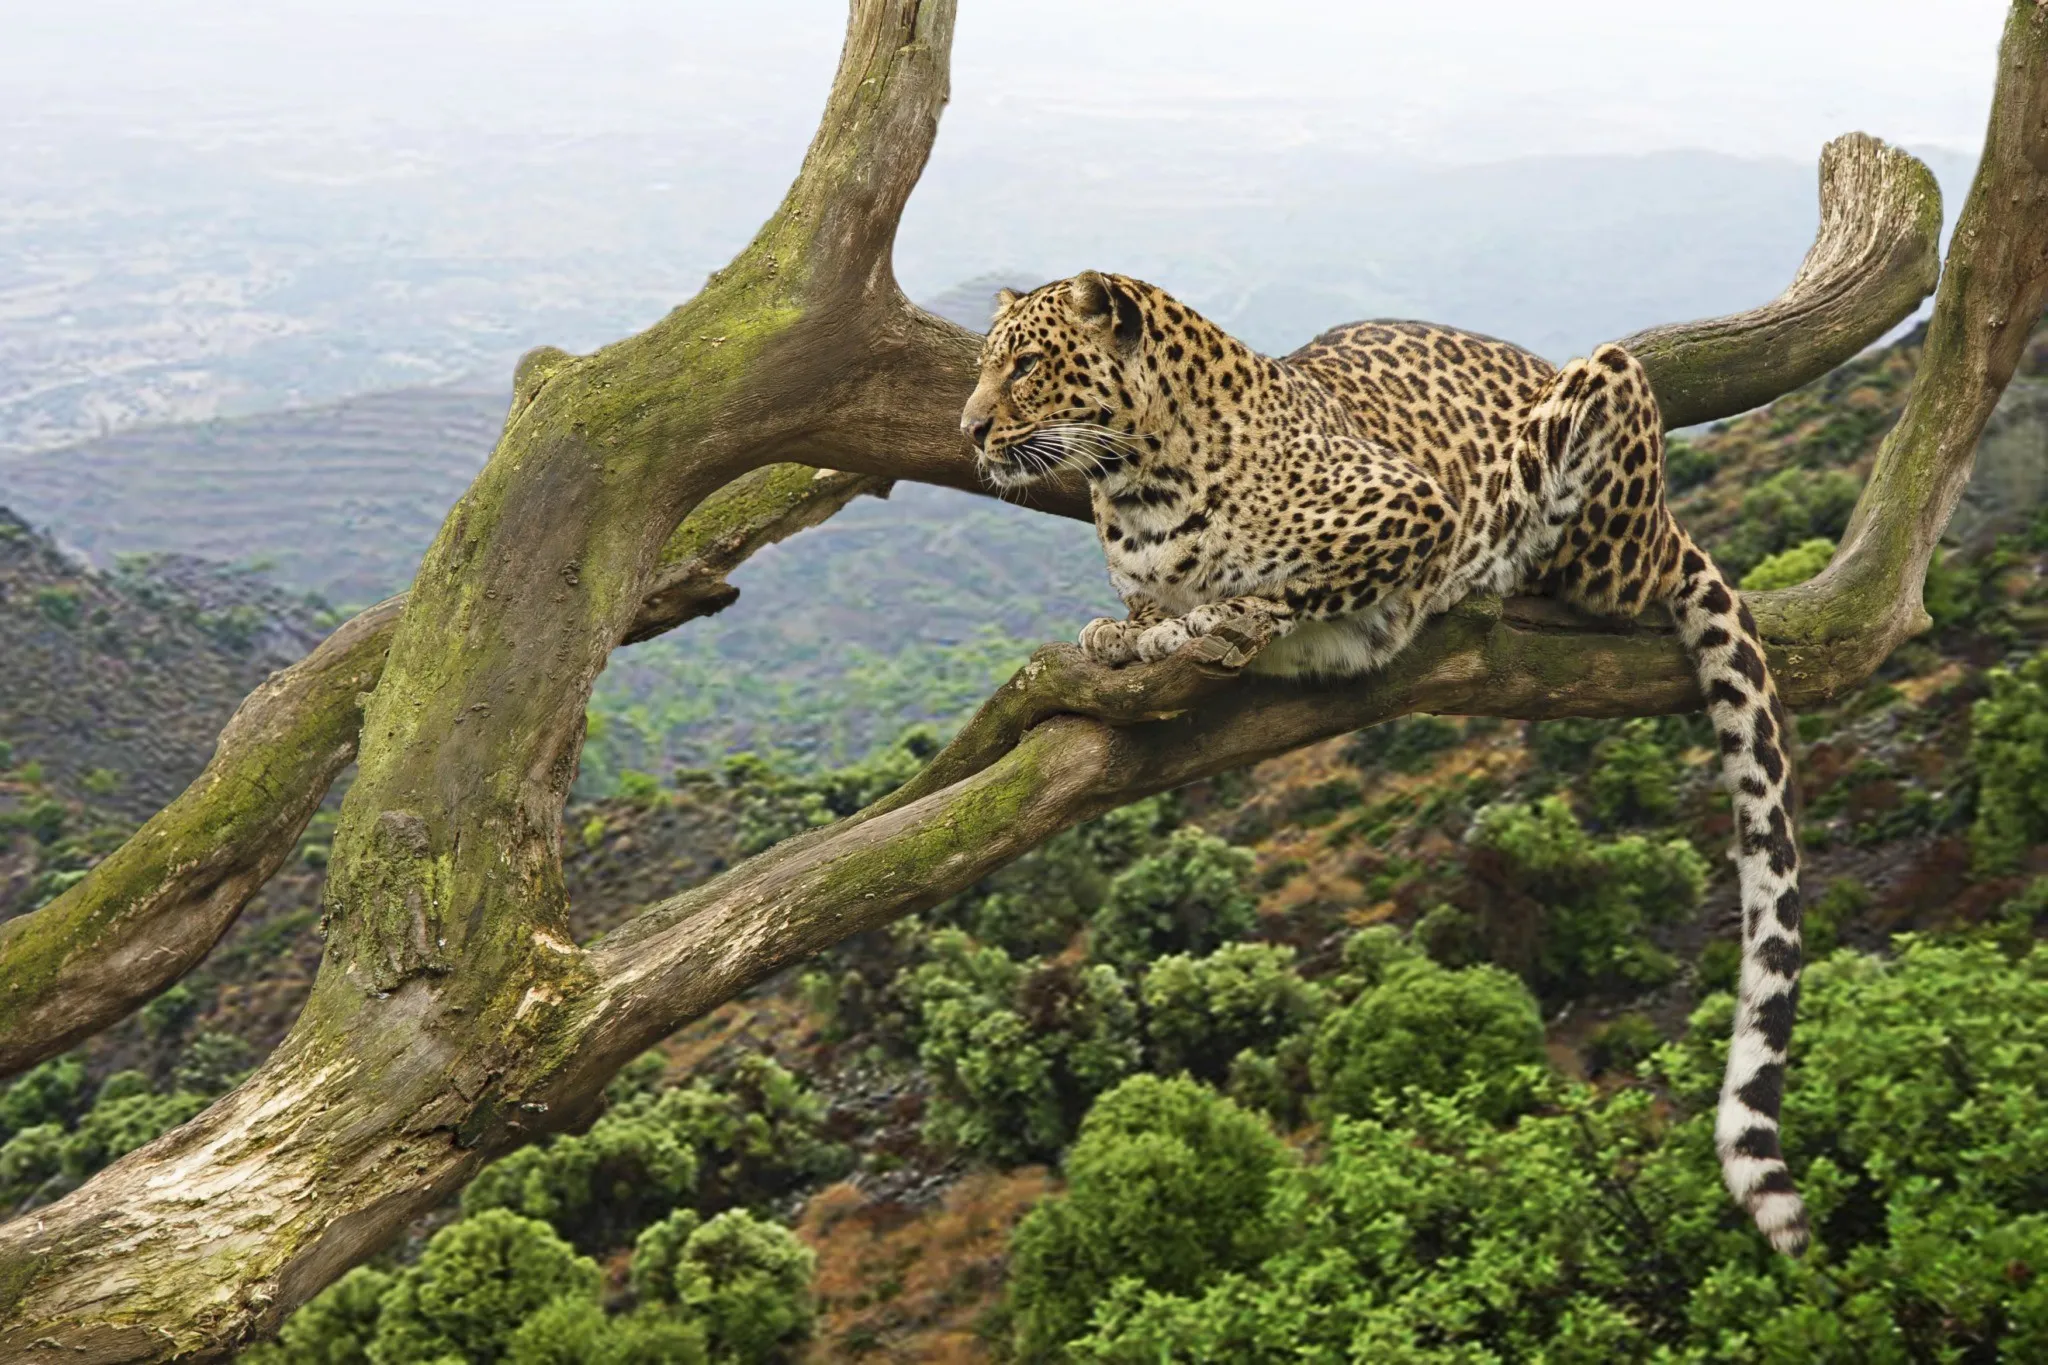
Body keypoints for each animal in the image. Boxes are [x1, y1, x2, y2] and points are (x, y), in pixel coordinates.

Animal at [959, 271, 1808, 1255]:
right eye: (990, 365)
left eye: (1026, 365)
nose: (969, 429)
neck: (1138, 487)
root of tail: (1673, 521)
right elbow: (1143, 617)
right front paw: (1129, 630)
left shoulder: (1411, 507)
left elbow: (1291, 587)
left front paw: (1222, 616)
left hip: (1610, 422)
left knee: (1609, 570)